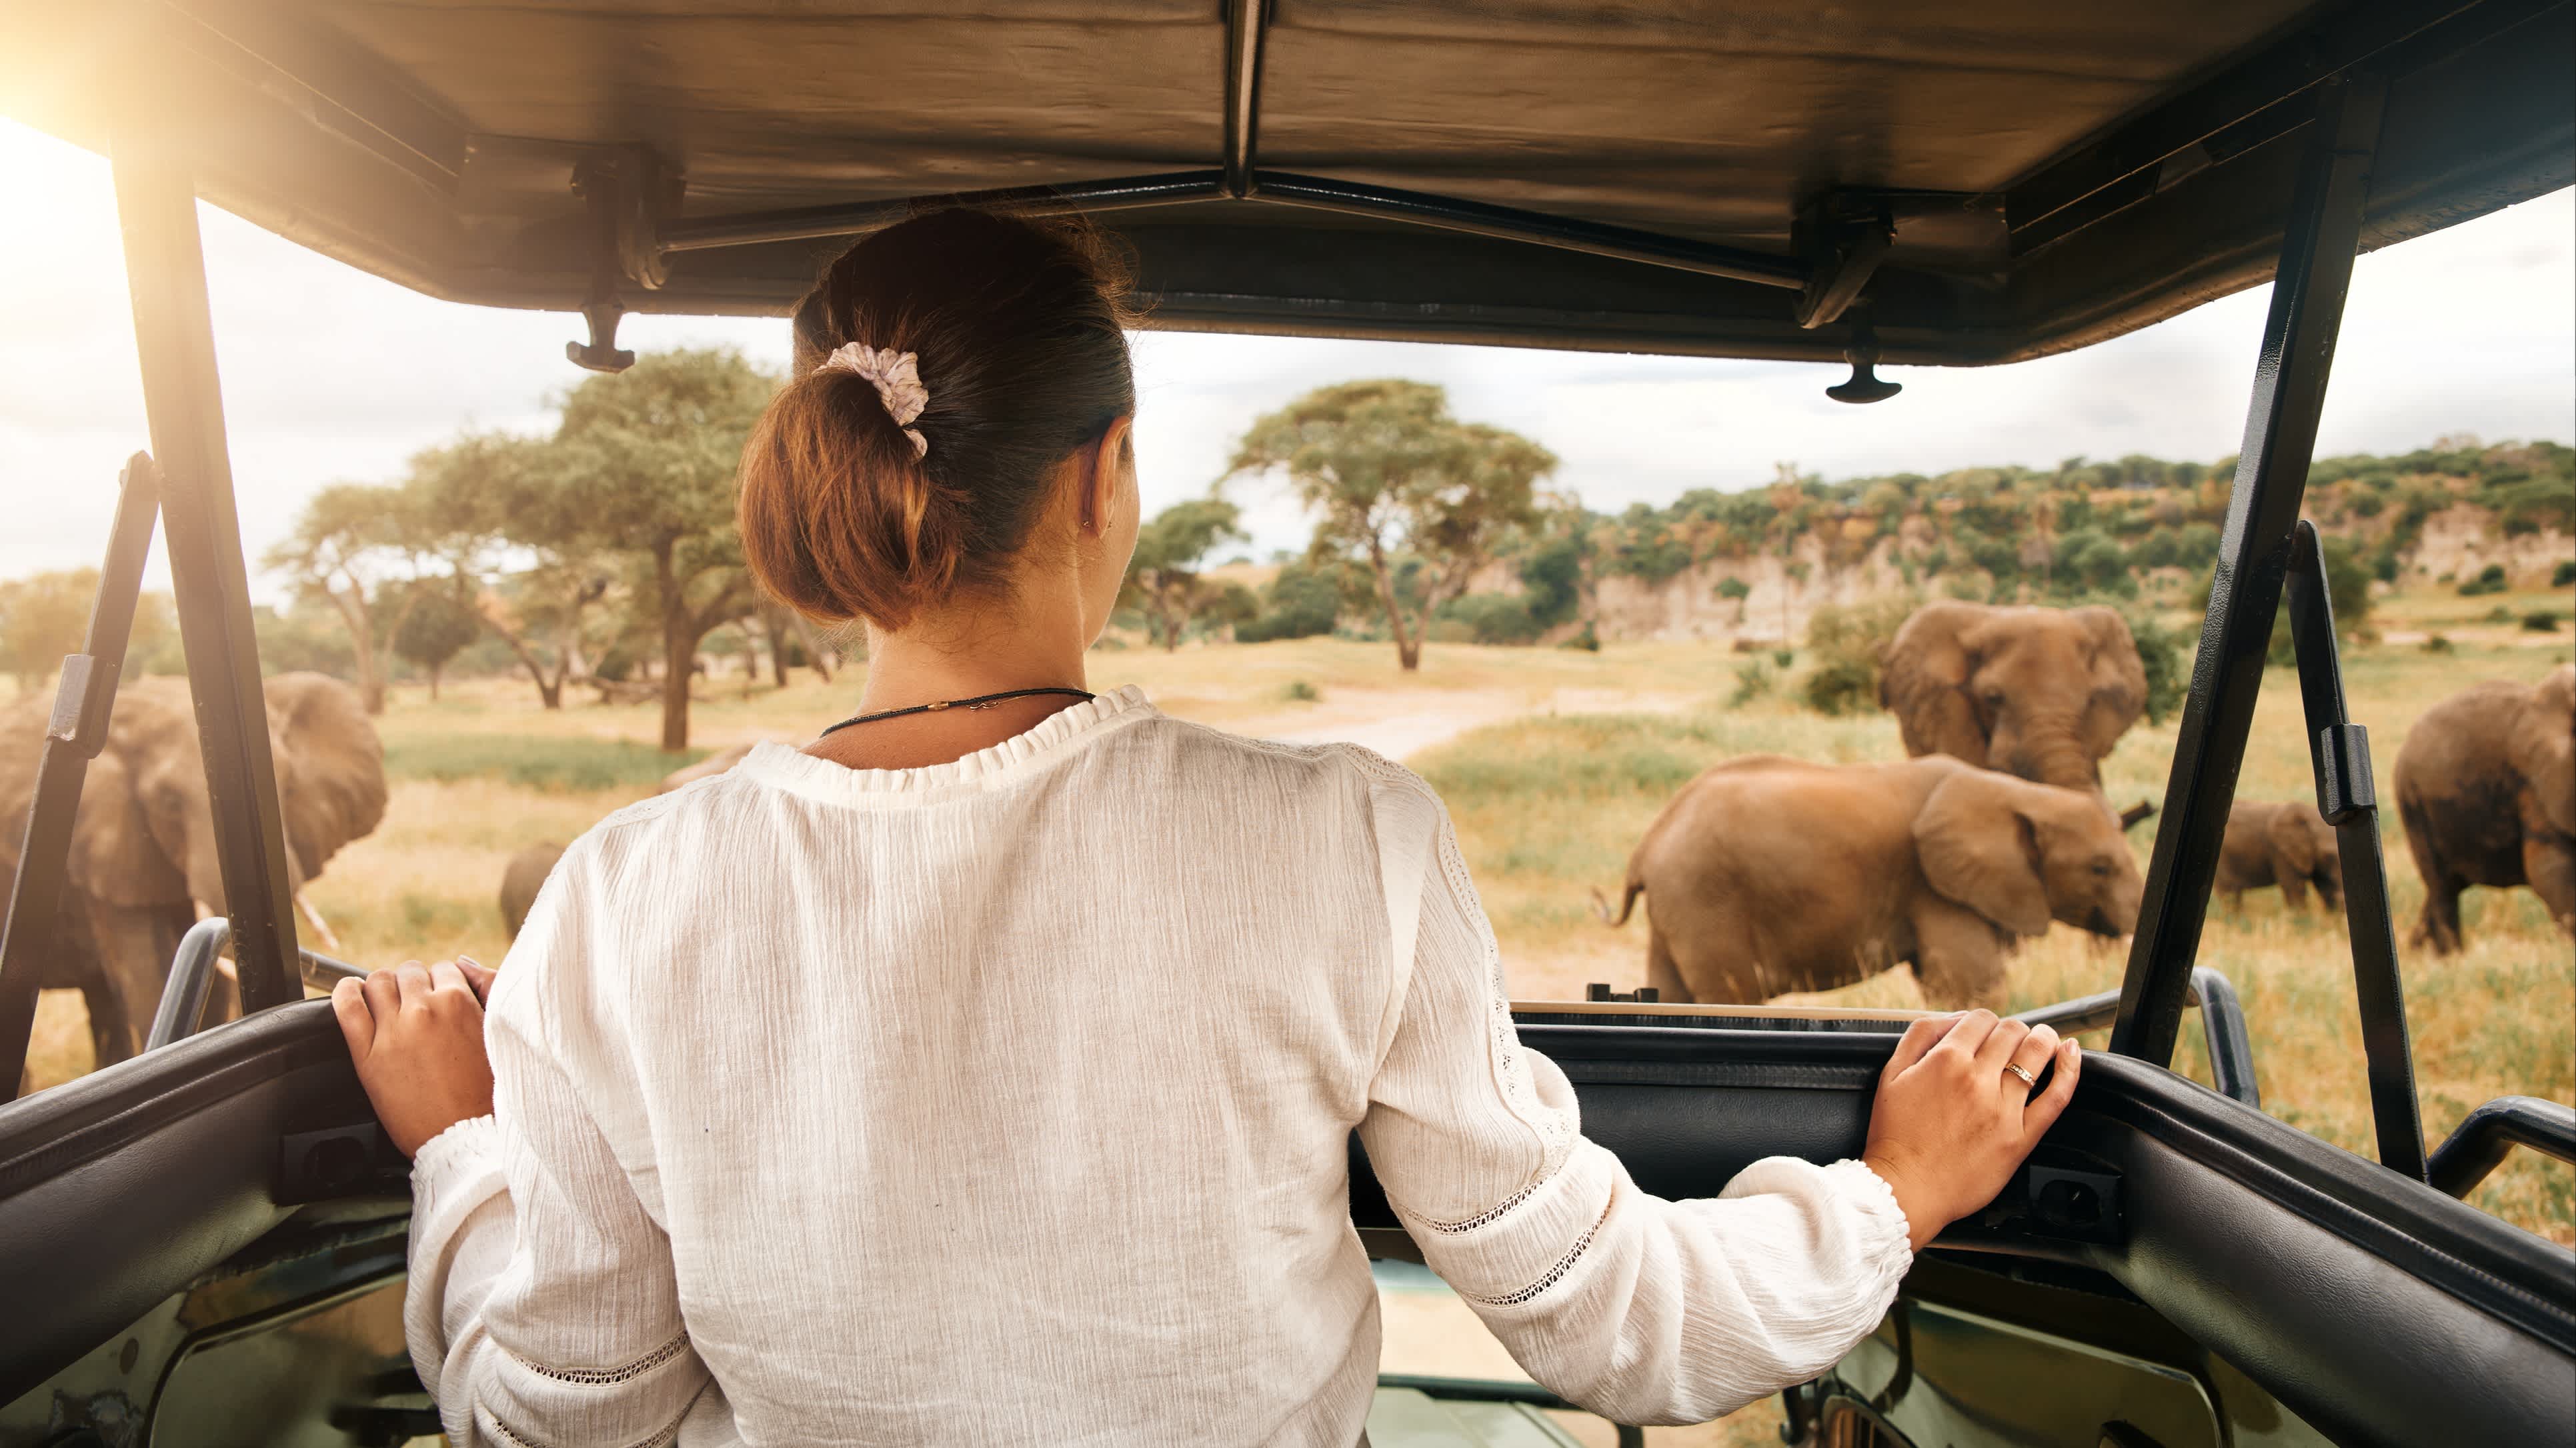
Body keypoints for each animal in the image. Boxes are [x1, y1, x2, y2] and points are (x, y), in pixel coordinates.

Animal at [1597, 747, 2143, 1009]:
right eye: (2099, 868)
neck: (2019, 793)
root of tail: (1647, 846)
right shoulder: (1936, 887)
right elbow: (1972, 988)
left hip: (1678, 909)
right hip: (1706, 901)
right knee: (1731, 994)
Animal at [2205, 793, 2349, 907]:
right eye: (2328, 855)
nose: (2341, 900)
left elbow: (2324, 888)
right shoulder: (2281, 853)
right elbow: (2295, 889)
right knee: (2230, 895)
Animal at [2390, 665, 2576, 953]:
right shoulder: (2535, 786)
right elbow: (2549, 870)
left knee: (2444, 887)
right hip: (2413, 804)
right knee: (2442, 887)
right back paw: (2451, 958)